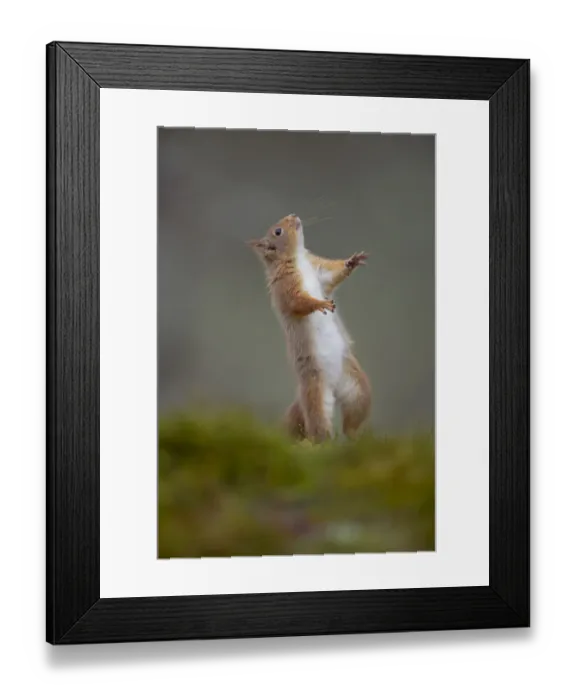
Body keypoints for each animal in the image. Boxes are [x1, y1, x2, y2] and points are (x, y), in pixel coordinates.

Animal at [248, 213, 372, 443]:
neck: (299, 260)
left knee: (352, 421)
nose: (293, 215)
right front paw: (319, 304)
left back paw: (355, 437)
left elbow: (333, 276)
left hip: (358, 390)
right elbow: (298, 301)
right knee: (319, 429)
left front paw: (352, 261)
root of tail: (334, 385)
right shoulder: (286, 287)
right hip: (316, 395)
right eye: (278, 231)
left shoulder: (320, 272)